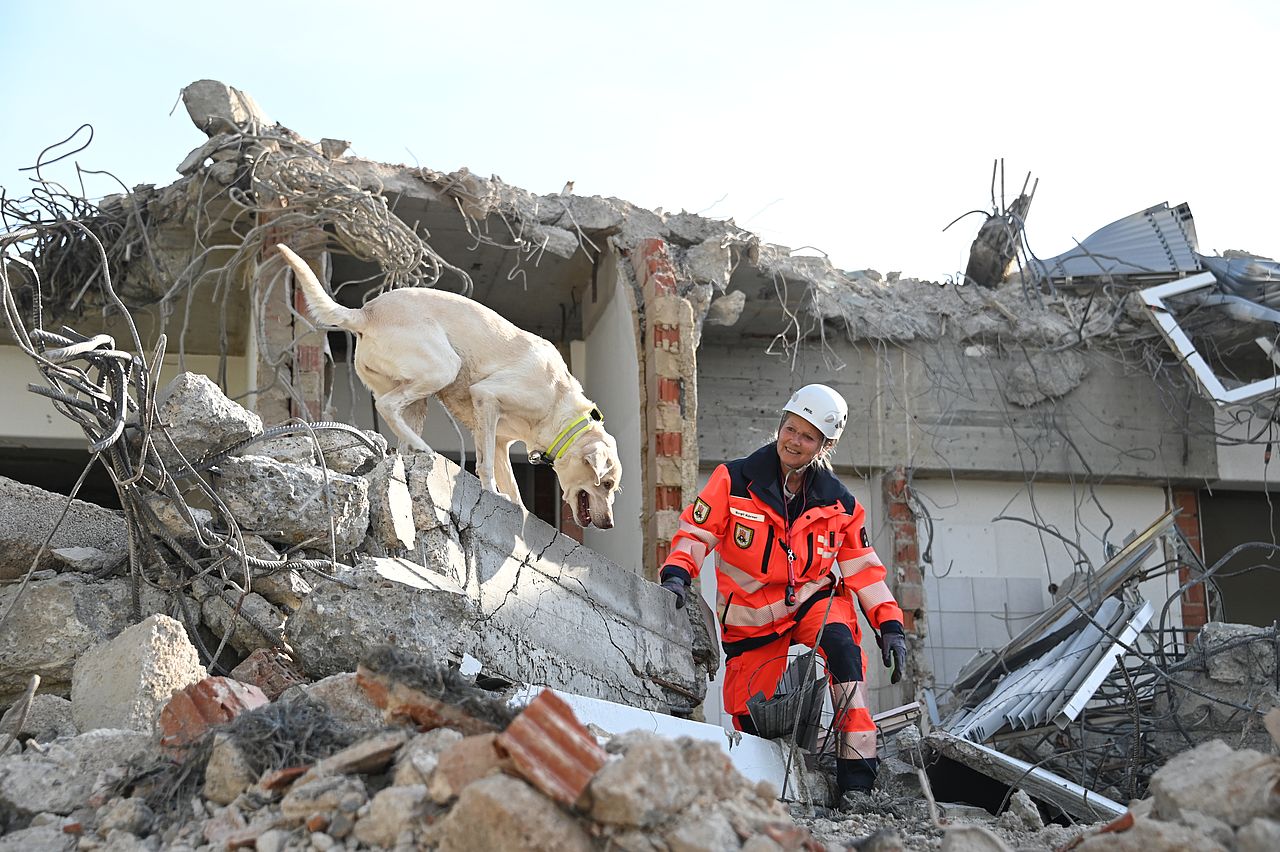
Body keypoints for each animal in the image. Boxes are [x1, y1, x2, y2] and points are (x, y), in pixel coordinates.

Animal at [275, 241, 619, 527]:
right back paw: (425, 448)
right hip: (443, 368)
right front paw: (491, 493)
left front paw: (516, 506)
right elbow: (486, 468)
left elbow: (512, 485)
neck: (559, 403)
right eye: (606, 484)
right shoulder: (487, 398)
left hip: (416, 399)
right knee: (386, 406)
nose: (609, 524)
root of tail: (365, 313)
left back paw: (412, 449)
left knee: (399, 431)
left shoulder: (499, 440)